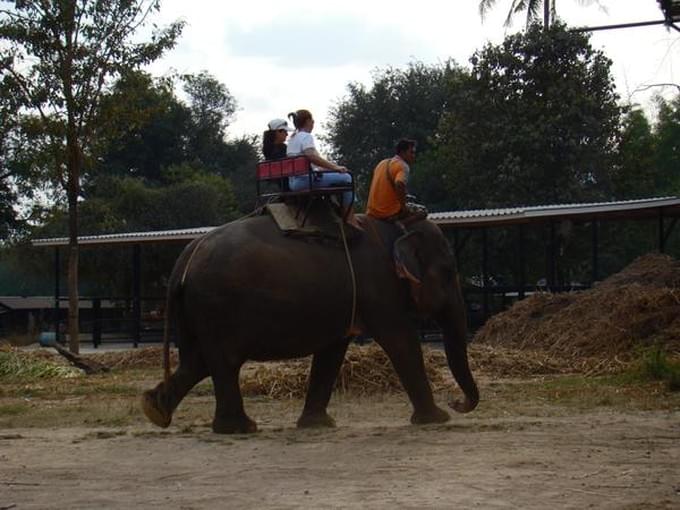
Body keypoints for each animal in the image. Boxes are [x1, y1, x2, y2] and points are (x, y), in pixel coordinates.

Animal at [143, 212, 478, 434]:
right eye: (449, 271)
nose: (456, 403)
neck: (397, 228)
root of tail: (186, 256)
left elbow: (332, 351)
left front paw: (317, 424)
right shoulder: (379, 288)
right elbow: (400, 340)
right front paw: (437, 419)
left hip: (197, 310)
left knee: (199, 362)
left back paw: (156, 409)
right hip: (217, 305)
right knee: (224, 361)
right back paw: (240, 428)